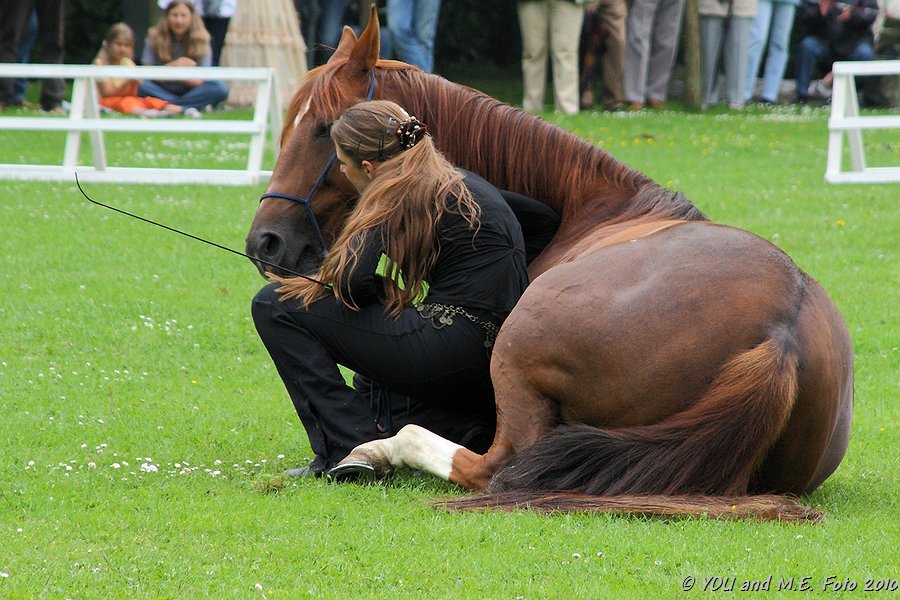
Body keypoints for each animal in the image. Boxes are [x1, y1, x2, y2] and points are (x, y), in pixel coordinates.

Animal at [244, 11, 852, 524]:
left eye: (323, 127)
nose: (266, 241)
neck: (591, 208)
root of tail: (781, 330)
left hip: (515, 356)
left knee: (489, 466)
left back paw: (377, 450)